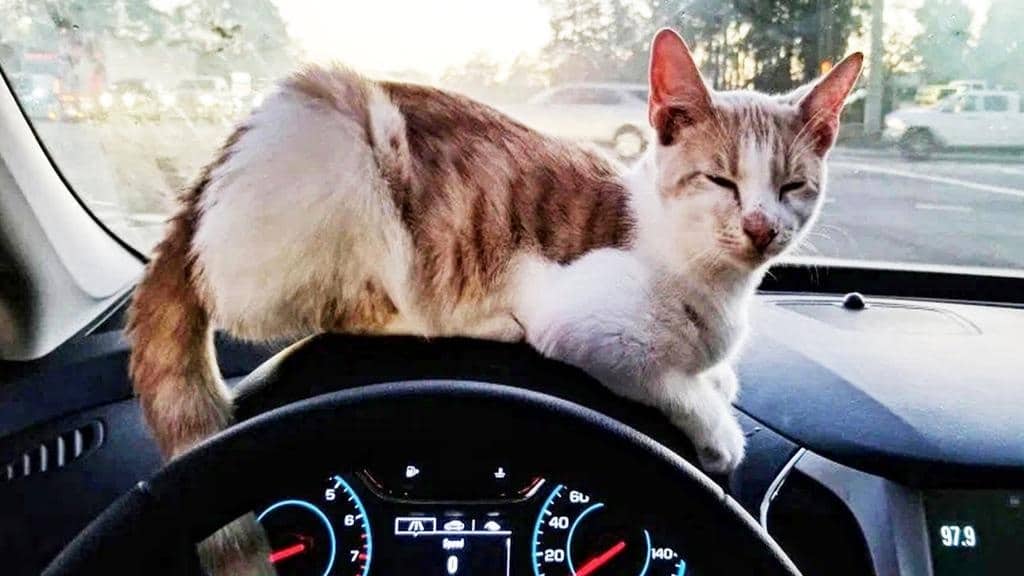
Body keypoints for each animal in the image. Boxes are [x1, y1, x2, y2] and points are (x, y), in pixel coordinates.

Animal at [125, 28, 864, 475]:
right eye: (721, 180)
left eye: (794, 185)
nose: (762, 226)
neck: (714, 285)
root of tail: (213, 171)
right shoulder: (588, 329)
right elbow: (666, 379)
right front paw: (716, 425)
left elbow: (714, 372)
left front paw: (719, 380)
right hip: (353, 153)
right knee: (329, 307)